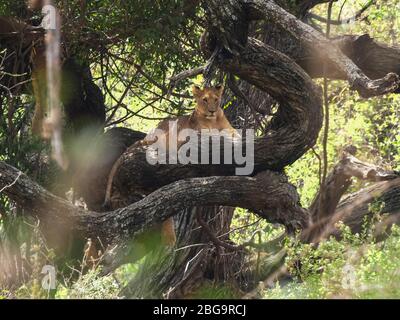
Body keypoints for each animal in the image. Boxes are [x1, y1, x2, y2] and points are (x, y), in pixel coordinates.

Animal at [104, 84, 238, 245]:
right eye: (205, 100)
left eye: (216, 99)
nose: (212, 110)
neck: (213, 121)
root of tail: (146, 137)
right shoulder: (200, 134)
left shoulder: (230, 129)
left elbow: (236, 134)